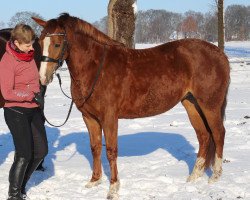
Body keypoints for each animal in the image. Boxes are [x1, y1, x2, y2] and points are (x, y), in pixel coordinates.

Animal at [33, 13, 230, 198]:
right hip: (191, 104)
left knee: (218, 133)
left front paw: (113, 189)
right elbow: (95, 148)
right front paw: (94, 181)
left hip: (210, 105)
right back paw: (194, 176)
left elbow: (111, 151)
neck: (96, 68)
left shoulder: (109, 117)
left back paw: (215, 176)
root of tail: (220, 54)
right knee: (204, 136)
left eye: (57, 44)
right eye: (40, 42)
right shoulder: (89, 117)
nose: (42, 78)